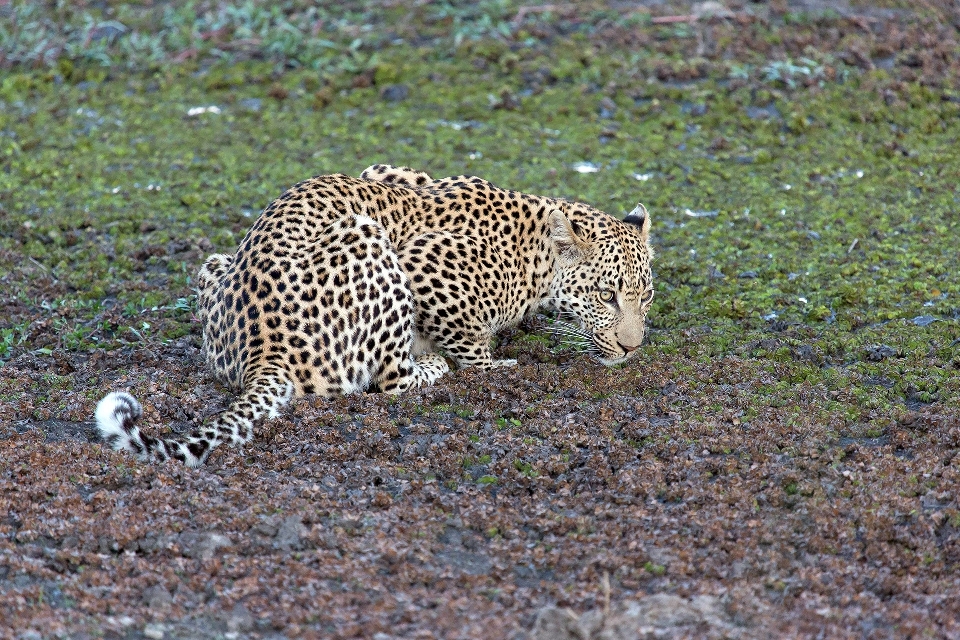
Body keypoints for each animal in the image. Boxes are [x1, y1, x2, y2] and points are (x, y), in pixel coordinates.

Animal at [95, 164, 652, 464]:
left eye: (644, 298)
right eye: (607, 296)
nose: (631, 347)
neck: (536, 248)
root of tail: (262, 354)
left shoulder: (389, 173)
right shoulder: (425, 265)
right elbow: (472, 346)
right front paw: (494, 361)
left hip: (215, 265)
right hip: (367, 236)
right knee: (390, 380)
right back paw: (432, 365)